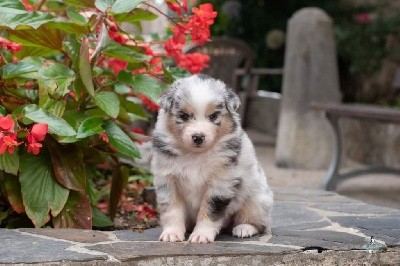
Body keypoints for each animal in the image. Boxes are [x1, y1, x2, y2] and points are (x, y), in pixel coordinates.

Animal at [152, 74, 274, 243]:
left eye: (213, 116)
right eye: (183, 116)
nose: (198, 137)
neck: (195, 155)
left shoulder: (221, 182)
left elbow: (210, 210)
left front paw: (201, 235)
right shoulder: (167, 180)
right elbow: (172, 209)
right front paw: (172, 233)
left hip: (257, 200)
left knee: (256, 222)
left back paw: (244, 228)